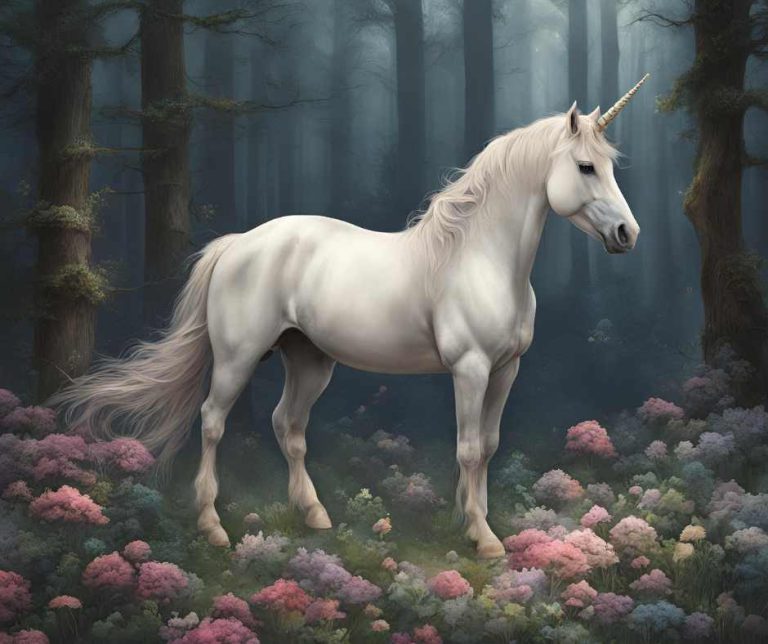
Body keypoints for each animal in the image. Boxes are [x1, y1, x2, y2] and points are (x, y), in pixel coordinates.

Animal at [54, 78, 646, 559]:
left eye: (610, 166)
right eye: (585, 167)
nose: (628, 234)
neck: (479, 256)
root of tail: (237, 244)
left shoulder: (506, 370)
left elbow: (490, 446)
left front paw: (468, 520)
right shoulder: (471, 369)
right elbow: (470, 447)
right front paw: (483, 536)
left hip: (309, 360)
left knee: (287, 426)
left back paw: (314, 514)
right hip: (237, 359)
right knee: (214, 421)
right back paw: (213, 526)